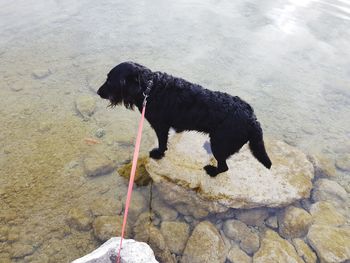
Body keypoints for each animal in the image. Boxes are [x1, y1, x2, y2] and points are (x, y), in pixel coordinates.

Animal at [97, 62, 272, 177]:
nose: (98, 92)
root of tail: (253, 119)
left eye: (110, 80)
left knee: (224, 167)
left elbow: (162, 142)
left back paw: (212, 171)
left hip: (220, 143)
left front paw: (158, 153)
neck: (150, 89)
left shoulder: (161, 126)